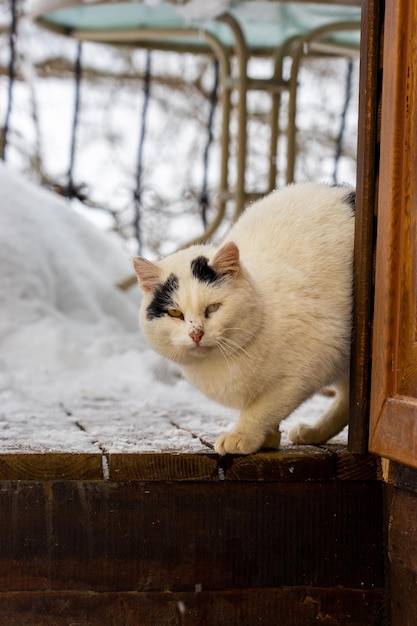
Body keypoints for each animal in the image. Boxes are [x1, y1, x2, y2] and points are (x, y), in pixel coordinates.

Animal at [134, 182, 354, 454]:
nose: (196, 334)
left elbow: (264, 407)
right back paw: (313, 433)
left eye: (213, 308)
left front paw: (243, 435)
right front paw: (269, 438)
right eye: (175, 313)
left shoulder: (304, 370)